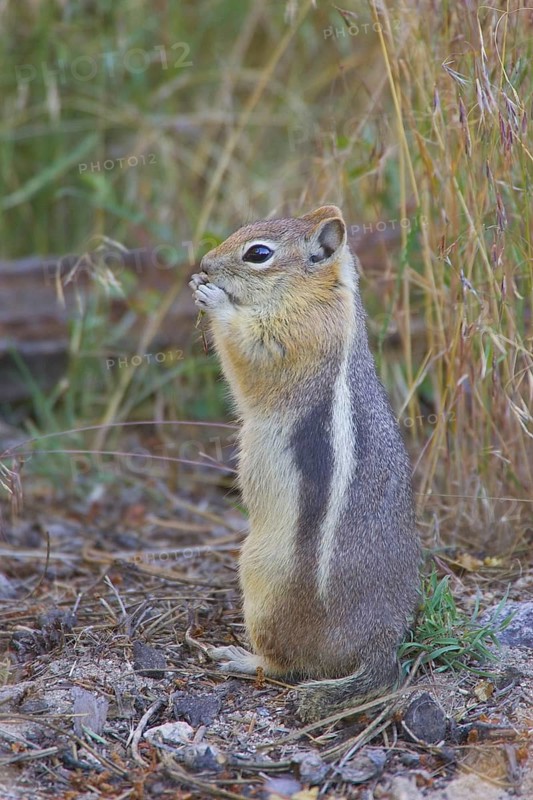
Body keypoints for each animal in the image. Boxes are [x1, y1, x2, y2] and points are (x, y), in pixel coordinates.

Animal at [189, 205, 420, 722]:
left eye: (258, 254)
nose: (206, 265)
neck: (322, 294)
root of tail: (379, 644)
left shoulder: (291, 337)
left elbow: (249, 351)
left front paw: (213, 298)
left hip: (262, 581)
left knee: (287, 663)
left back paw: (241, 658)